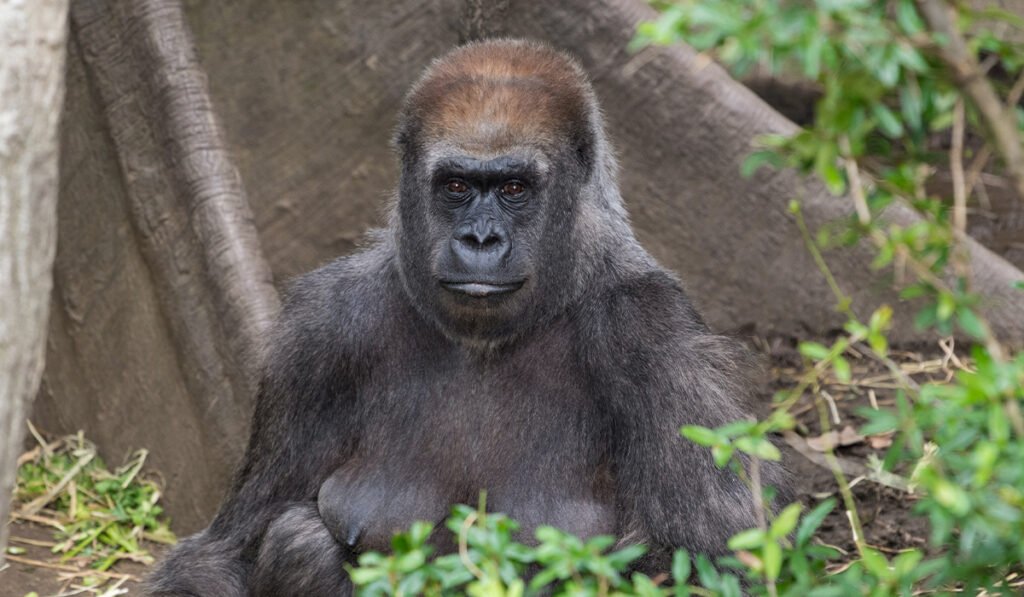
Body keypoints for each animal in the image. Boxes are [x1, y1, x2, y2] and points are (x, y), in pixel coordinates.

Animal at [146, 39, 791, 596]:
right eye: (456, 186)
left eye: (514, 188)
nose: (480, 239)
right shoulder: (319, 331)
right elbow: (229, 551)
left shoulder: (652, 331)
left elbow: (713, 557)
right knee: (295, 538)